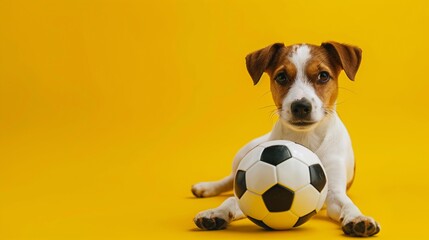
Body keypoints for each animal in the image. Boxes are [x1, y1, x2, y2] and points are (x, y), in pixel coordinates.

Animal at [192, 40, 380, 236]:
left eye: (323, 76)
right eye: (281, 77)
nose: (301, 106)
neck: (304, 139)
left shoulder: (334, 191)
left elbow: (347, 204)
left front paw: (358, 218)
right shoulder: (247, 190)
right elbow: (232, 199)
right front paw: (216, 212)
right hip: (243, 153)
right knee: (230, 178)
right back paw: (207, 187)